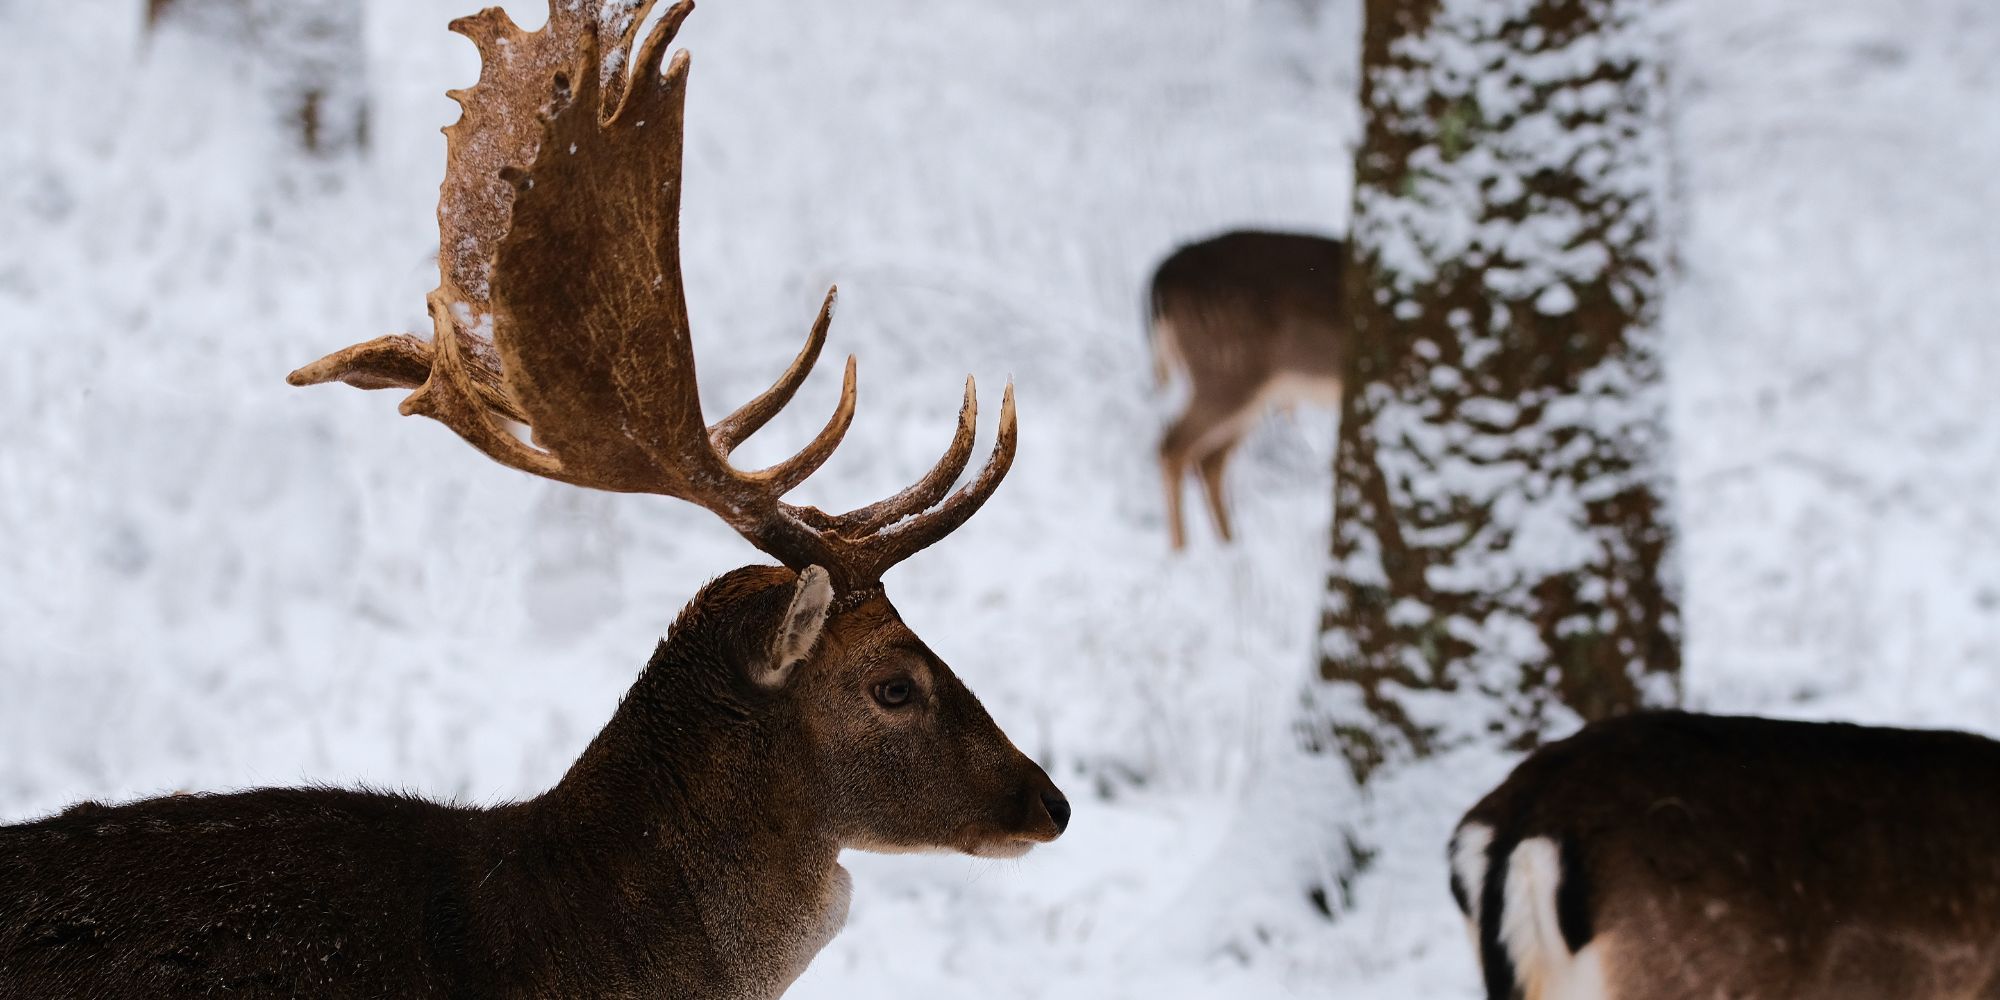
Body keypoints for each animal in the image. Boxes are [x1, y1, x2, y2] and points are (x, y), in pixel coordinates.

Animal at [1152, 230, 1352, 552]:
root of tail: (1161, 277)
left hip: (1249, 392)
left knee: (1208, 460)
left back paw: (1230, 547)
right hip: (1227, 368)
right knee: (1173, 447)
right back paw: (1183, 553)